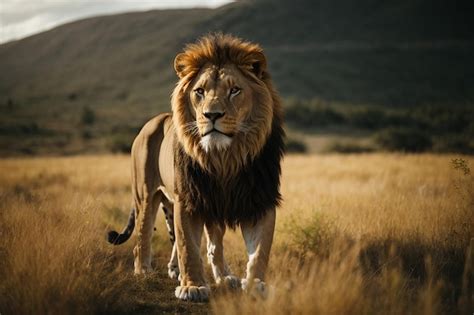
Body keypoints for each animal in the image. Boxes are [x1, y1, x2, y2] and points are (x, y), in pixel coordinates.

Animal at [108, 33, 286, 302]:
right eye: (199, 91)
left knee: (212, 244)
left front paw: (256, 285)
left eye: (235, 90)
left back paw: (222, 276)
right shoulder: (188, 199)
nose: (211, 115)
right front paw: (192, 287)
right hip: (145, 195)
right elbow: (188, 246)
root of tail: (153, 121)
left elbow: (260, 250)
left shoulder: (259, 198)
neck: (225, 158)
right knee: (143, 236)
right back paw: (144, 271)